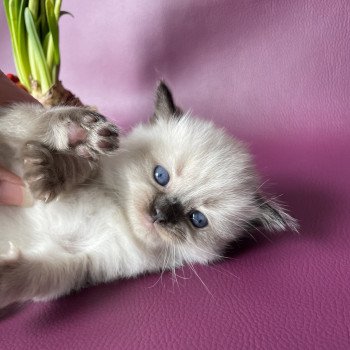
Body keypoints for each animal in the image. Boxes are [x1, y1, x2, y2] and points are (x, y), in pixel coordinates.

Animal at [0, 81, 298, 306]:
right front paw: (66, 149)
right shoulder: (12, 149)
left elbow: (30, 274)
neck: (118, 215)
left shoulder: (76, 260)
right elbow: (43, 131)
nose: (159, 214)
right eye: (161, 176)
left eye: (197, 219)